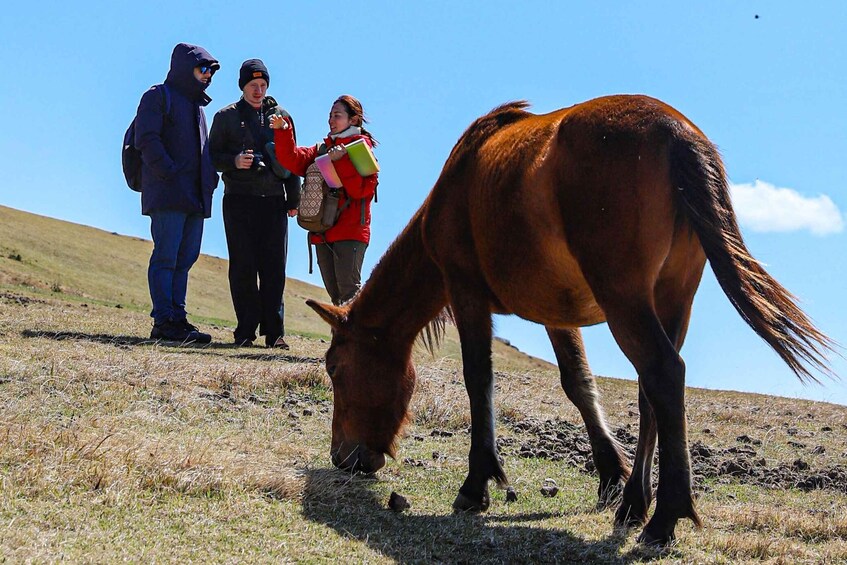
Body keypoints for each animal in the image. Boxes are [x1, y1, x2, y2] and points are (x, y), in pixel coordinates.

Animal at [306, 95, 832, 545]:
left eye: (335, 369)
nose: (342, 457)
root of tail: (677, 134)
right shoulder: (556, 314)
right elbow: (578, 382)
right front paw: (612, 476)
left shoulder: (467, 293)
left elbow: (479, 380)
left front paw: (476, 485)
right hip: (672, 297)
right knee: (652, 392)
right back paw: (634, 505)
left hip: (625, 299)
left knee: (664, 374)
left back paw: (664, 517)